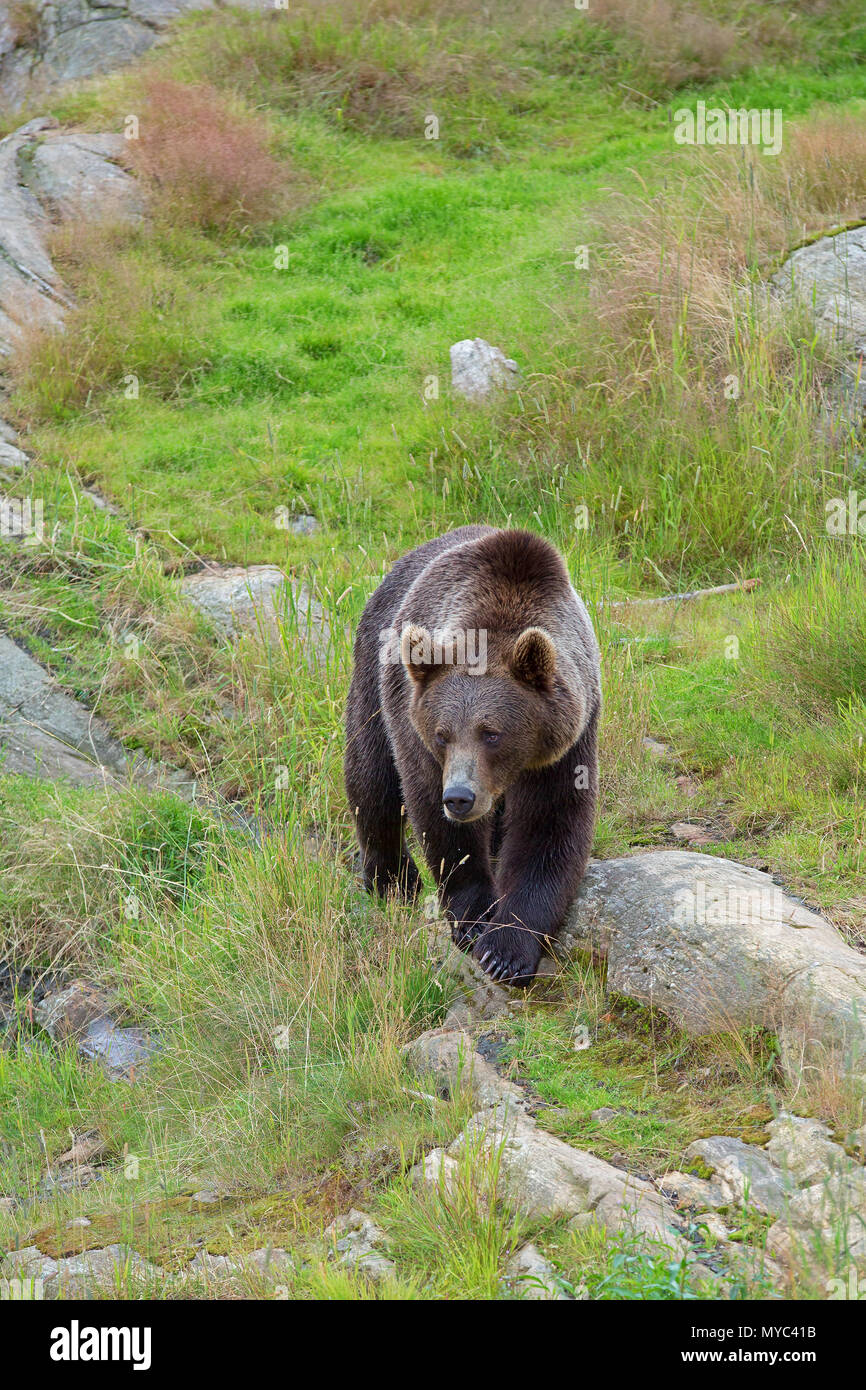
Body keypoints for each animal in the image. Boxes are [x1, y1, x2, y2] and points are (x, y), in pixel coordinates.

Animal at [341, 522, 600, 989]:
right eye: (443, 734)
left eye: (492, 733)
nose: (460, 797)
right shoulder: (415, 729)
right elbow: (441, 827)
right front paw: (475, 921)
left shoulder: (567, 744)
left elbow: (550, 828)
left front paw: (507, 950)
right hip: (373, 676)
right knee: (371, 778)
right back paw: (391, 880)